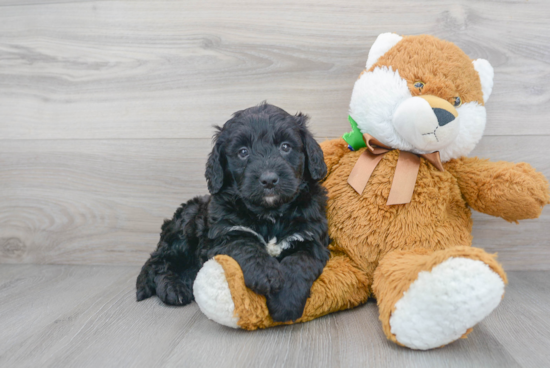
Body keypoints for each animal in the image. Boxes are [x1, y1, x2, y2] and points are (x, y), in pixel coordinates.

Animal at [136, 102, 330, 320]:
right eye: (243, 152)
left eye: (285, 147)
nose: (269, 180)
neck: (270, 214)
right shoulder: (227, 234)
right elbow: (246, 247)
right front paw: (267, 274)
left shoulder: (309, 237)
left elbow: (299, 263)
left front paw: (285, 301)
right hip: (184, 225)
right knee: (160, 263)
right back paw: (173, 288)